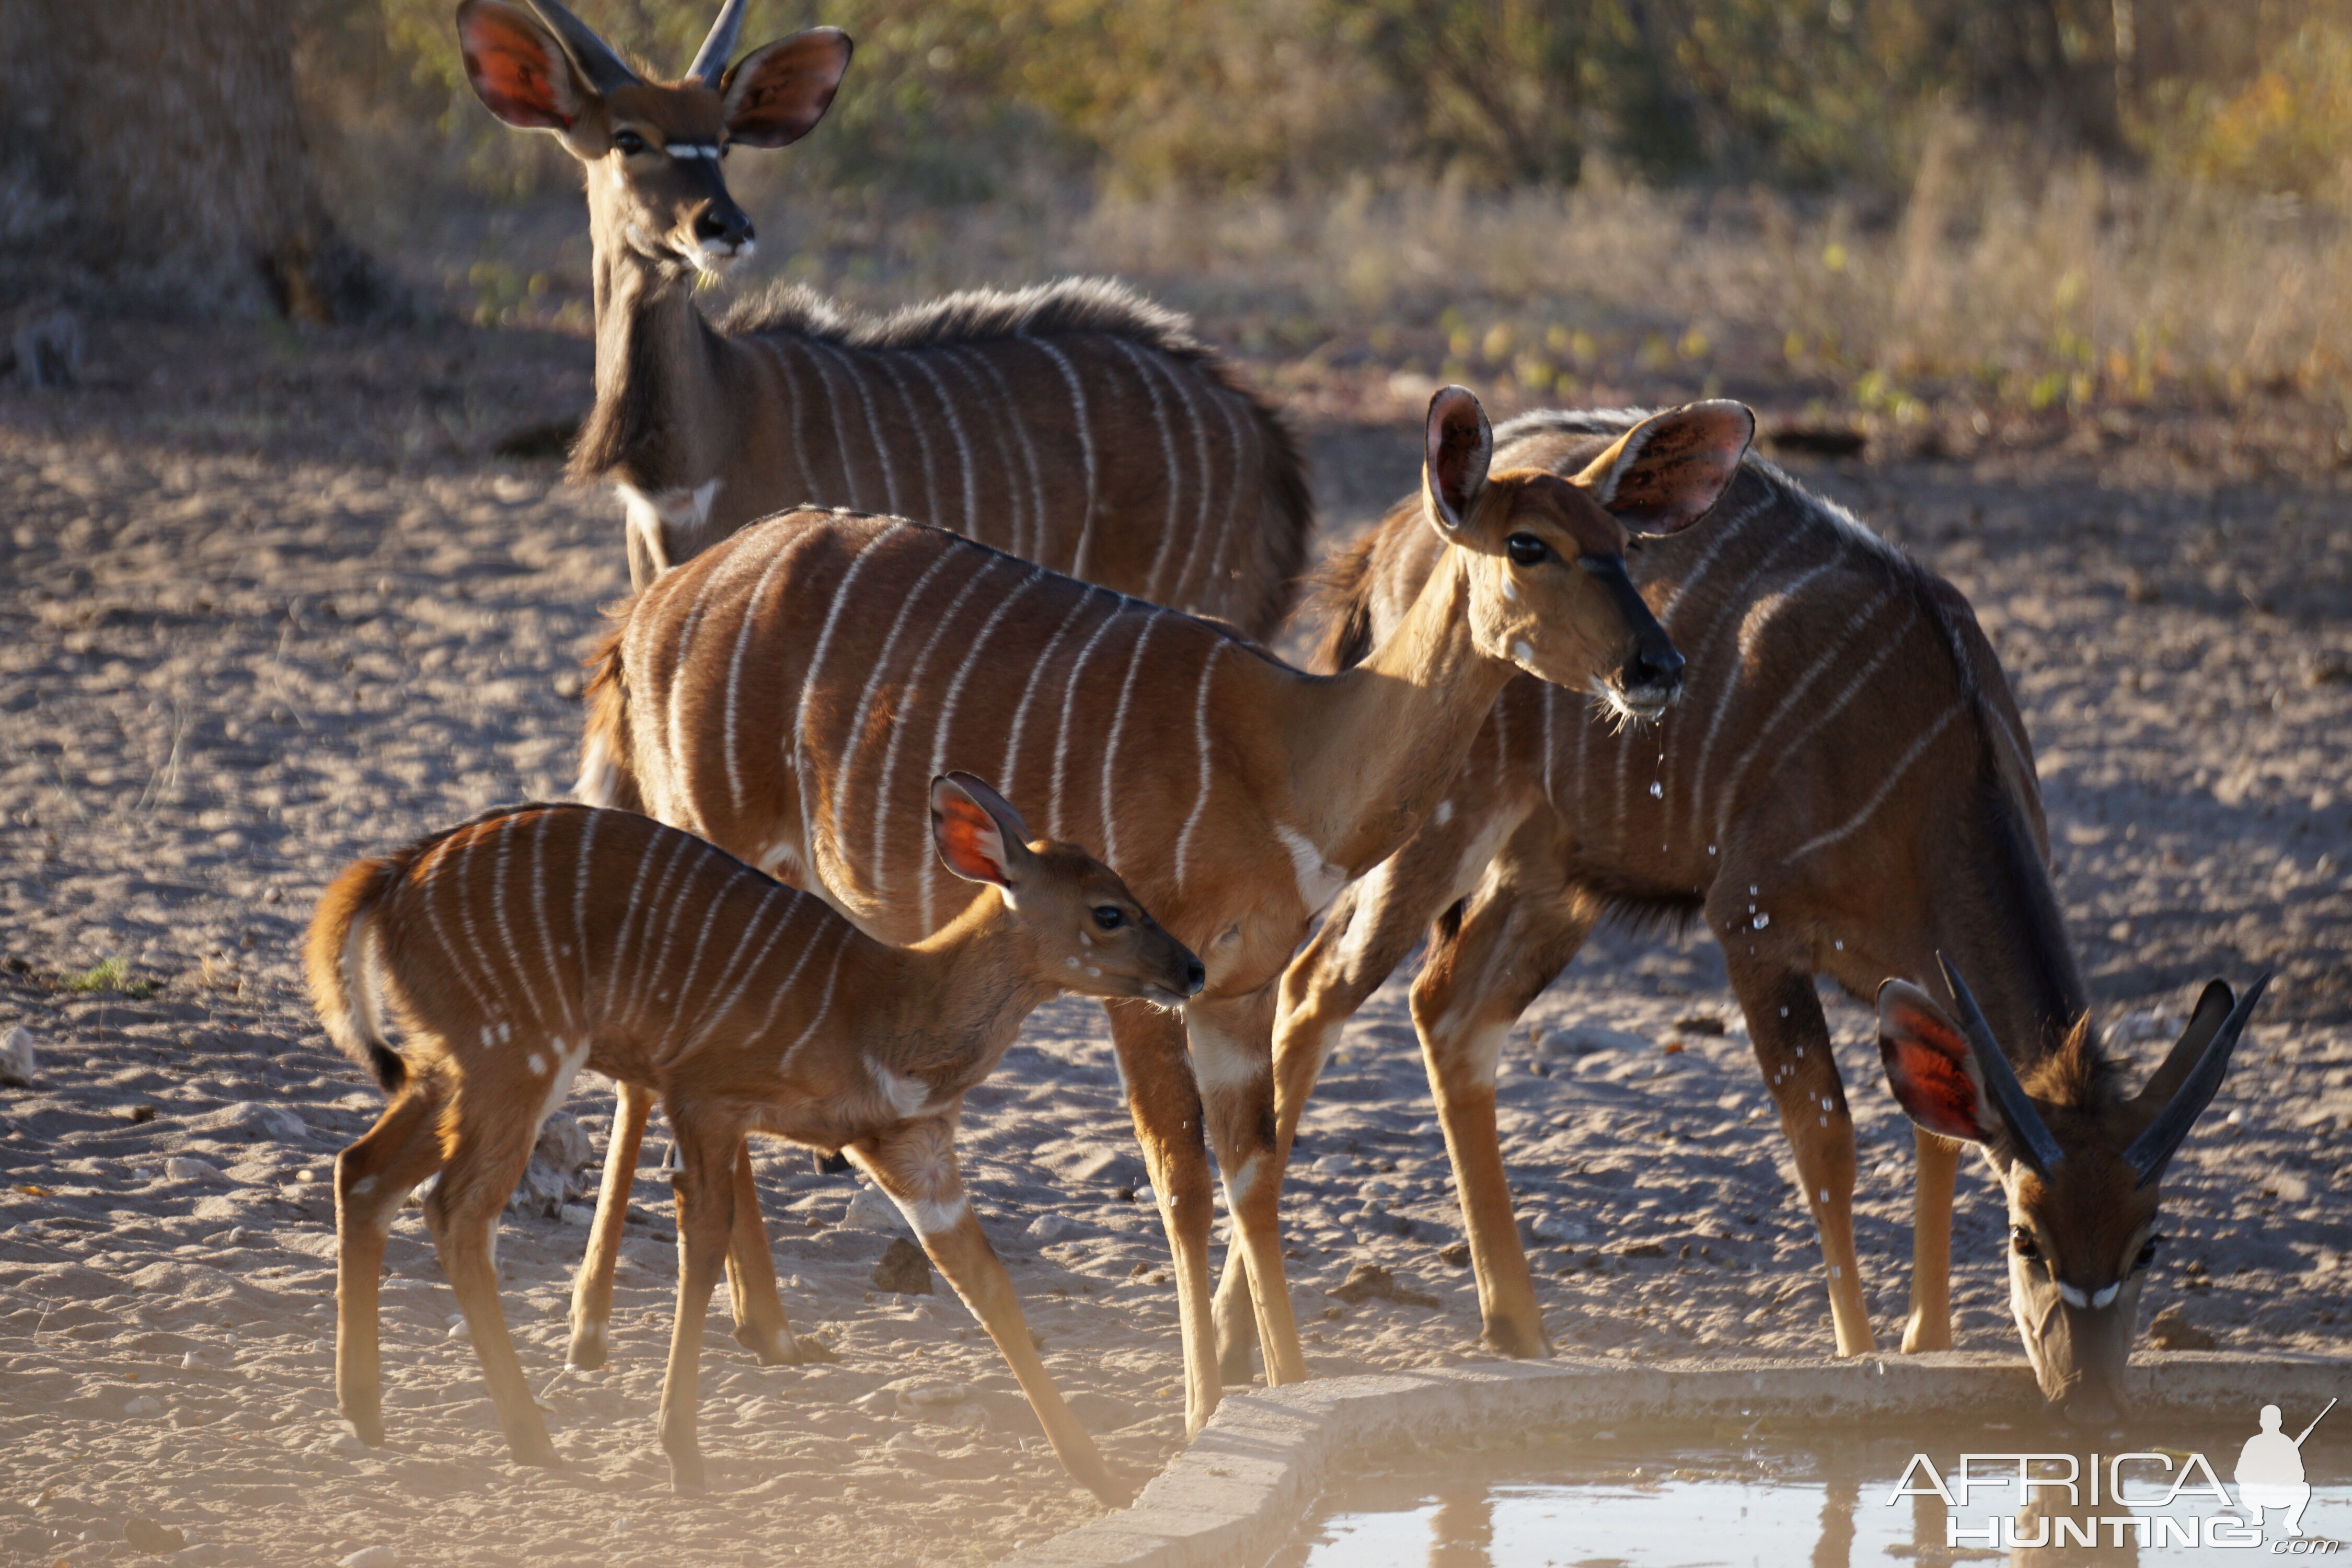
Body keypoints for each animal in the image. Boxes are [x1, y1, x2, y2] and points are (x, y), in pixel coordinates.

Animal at [303, 780, 1204, 1504]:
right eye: (1109, 912)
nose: (1192, 970)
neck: (891, 1009)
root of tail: (395, 873)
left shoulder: (912, 1148)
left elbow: (987, 1286)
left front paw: (1103, 1476)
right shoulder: (706, 1101)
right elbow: (702, 1249)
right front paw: (682, 1455)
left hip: (450, 1064)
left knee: (364, 1172)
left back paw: (365, 1412)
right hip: (515, 1057)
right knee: (455, 1208)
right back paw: (531, 1439)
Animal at [579, 385, 1759, 1429]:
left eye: (1626, 542)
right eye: (1528, 546)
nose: (1656, 666)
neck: (1285, 760)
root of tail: (645, 613)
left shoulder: (1237, 991)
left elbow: (1256, 1172)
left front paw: (1288, 1388)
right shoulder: (1141, 980)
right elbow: (1180, 1181)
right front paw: (1201, 1410)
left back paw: (762, 1332)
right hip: (715, 834)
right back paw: (610, 1333)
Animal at [1261, 409, 2267, 1420]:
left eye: (2148, 1242)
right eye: (2028, 1238)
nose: (2088, 1395)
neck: (1934, 758)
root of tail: (1392, 535)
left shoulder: (1913, 972)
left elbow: (1936, 1139)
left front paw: (1930, 1343)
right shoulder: (1751, 923)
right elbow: (1826, 1141)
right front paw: (1859, 1352)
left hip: (1554, 874)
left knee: (1450, 1014)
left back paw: (1516, 1327)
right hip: (1441, 821)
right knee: (1315, 990)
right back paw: (1264, 1357)